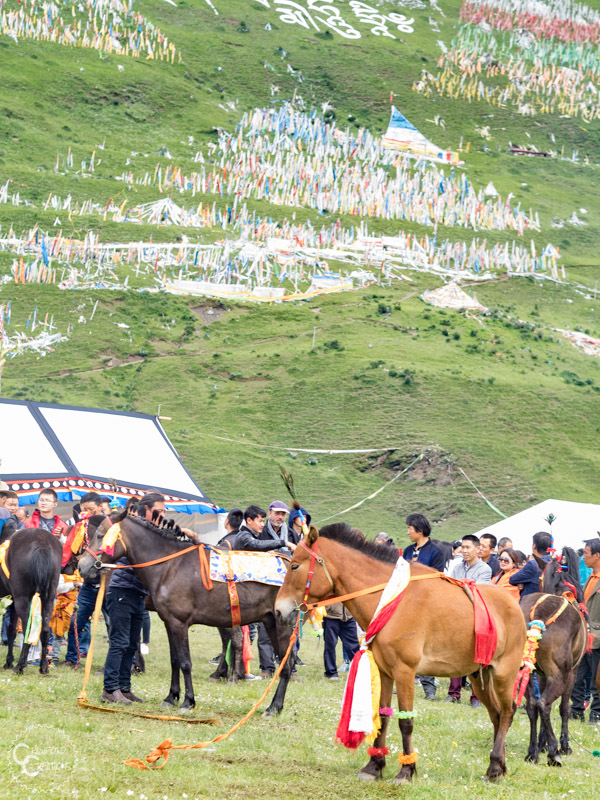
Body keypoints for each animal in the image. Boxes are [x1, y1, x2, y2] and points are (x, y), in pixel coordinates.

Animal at [0, 524, 61, 676]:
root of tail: (42, 543)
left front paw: (10, 662)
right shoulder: (11, 601)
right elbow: (11, 631)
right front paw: (9, 661)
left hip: (22, 598)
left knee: (28, 628)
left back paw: (20, 666)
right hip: (48, 598)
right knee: (44, 630)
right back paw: (43, 666)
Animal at [520, 548, 584, 764]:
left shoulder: (539, 673)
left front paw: (541, 742)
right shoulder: (572, 672)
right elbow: (564, 708)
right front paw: (562, 744)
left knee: (533, 705)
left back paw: (532, 751)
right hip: (560, 674)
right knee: (544, 704)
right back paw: (554, 750)